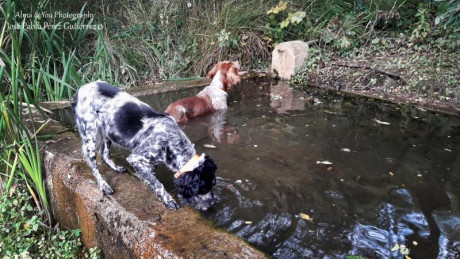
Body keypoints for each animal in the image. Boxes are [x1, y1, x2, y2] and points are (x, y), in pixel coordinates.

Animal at [73, 81, 217, 211]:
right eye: (203, 188)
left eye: (213, 184)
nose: (212, 203)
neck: (172, 141)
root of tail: (80, 89)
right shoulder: (135, 158)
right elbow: (158, 183)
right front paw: (168, 200)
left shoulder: (150, 162)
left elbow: (151, 178)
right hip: (90, 135)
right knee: (93, 166)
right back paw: (104, 185)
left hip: (107, 133)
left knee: (104, 154)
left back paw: (116, 168)